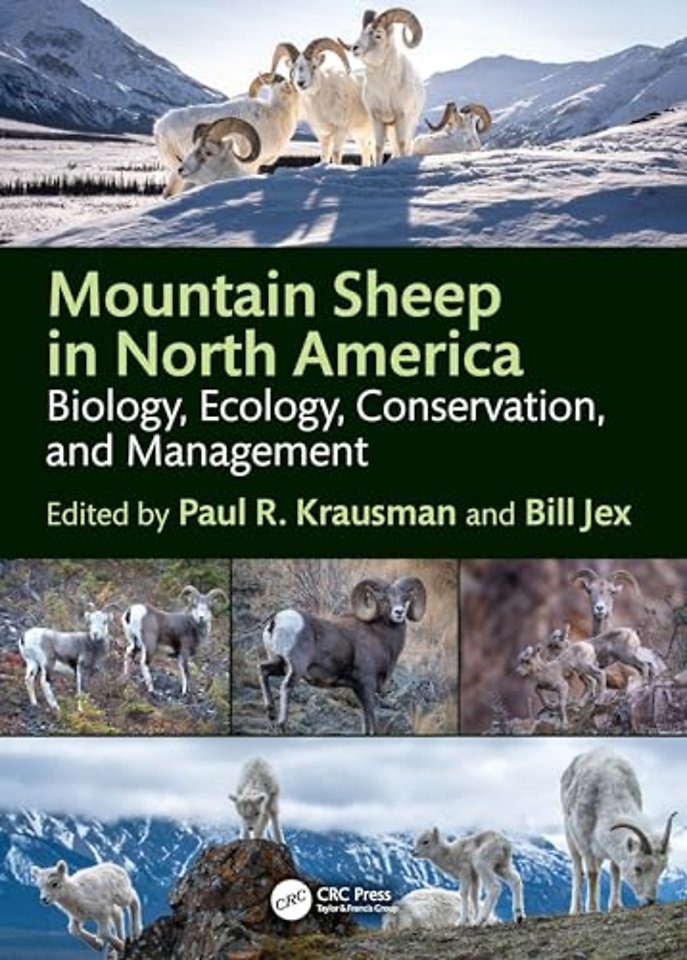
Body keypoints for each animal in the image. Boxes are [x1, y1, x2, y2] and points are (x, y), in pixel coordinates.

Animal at [259, 575, 426, 735]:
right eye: (384, 599)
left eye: (405, 598)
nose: (399, 612)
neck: (379, 636)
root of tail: (276, 621)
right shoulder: (367, 683)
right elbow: (371, 714)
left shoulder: (357, 688)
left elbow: (365, 717)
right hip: (296, 668)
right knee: (286, 686)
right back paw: (282, 725)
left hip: (279, 664)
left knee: (263, 670)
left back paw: (270, 712)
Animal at [340, 8, 425, 165]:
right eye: (361, 33)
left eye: (378, 35)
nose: (355, 48)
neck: (385, 90)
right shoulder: (377, 119)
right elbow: (378, 146)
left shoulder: (401, 117)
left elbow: (402, 144)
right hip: (391, 128)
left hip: (410, 123)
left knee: (404, 145)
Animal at [561, 747, 677, 913]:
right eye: (637, 868)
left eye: (661, 870)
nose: (649, 901)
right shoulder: (585, 843)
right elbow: (592, 873)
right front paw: (593, 910)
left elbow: (615, 872)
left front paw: (615, 907)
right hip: (570, 838)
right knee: (578, 870)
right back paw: (576, 911)